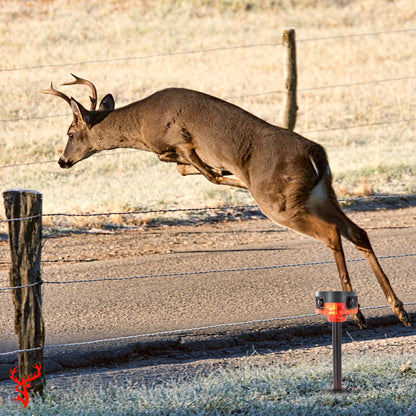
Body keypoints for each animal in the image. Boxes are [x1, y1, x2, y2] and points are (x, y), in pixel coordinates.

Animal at [40, 75, 412, 328]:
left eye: (70, 133)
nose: (61, 161)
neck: (142, 127)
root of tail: (315, 153)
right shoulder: (179, 153)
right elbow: (188, 170)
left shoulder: (182, 139)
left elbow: (205, 173)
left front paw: (231, 179)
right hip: (321, 193)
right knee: (358, 232)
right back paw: (399, 310)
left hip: (280, 203)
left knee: (332, 234)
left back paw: (358, 315)